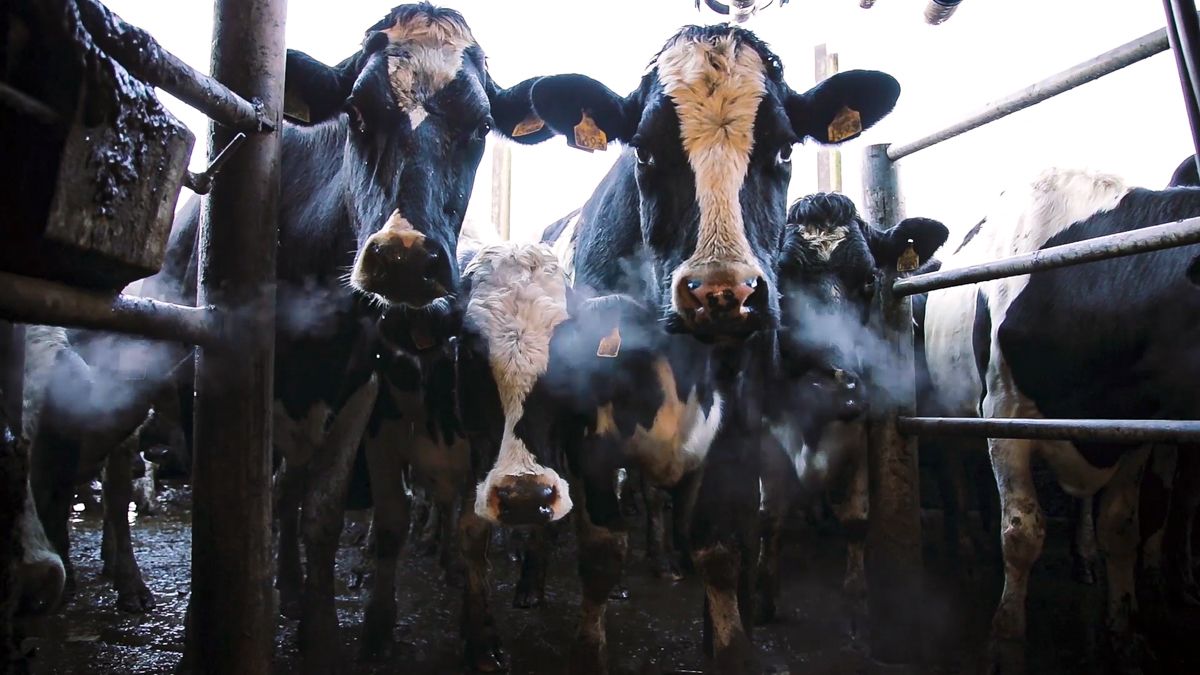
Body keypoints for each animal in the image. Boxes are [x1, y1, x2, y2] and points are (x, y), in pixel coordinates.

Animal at [467, 23, 904, 673]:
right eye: (644, 152)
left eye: (784, 151)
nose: (723, 293)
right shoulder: (591, 439)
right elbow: (601, 553)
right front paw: (588, 646)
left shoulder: (738, 435)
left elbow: (720, 553)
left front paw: (725, 639)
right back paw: (532, 581)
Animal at [922, 166, 1200, 671]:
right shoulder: (1003, 413)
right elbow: (1021, 532)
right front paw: (1006, 640)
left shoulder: (1132, 429)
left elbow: (1121, 528)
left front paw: (1125, 632)